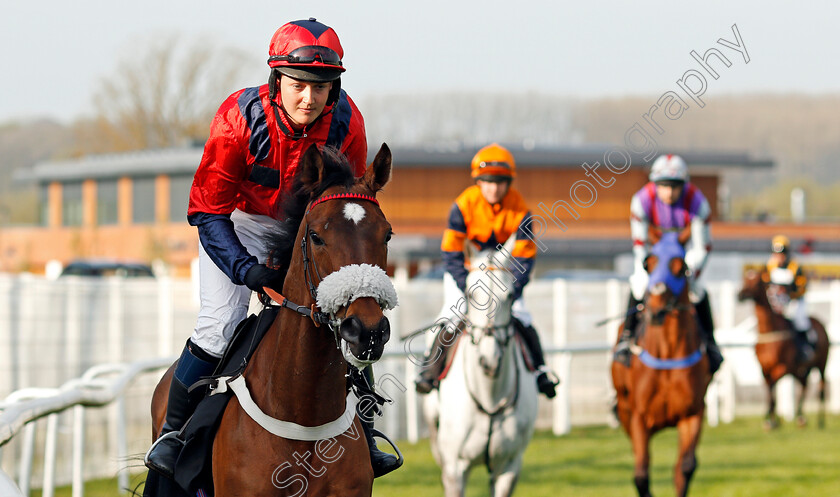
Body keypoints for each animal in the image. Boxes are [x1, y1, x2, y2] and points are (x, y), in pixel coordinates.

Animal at [420, 236, 540, 496]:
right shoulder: (455, 469)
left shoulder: (509, 467)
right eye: (471, 294)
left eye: (510, 296)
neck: (489, 395)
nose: (489, 359)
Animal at [612, 232, 712, 496]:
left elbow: (685, 468)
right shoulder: (638, 417)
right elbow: (641, 475)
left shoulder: (693, 412)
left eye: (681, 268)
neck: (668, 352)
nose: (656, 310)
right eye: (649, 263)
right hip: (624, 410)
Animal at [736, 270, 828, 428]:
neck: (770, 332)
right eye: (744, 280)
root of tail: (819, 323)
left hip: (821, 364)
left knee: (821, 389)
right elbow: (770, 392)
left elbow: (772, 389)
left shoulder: (784, 367)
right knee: (804, 386)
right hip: (800, 370)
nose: (740, 295)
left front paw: (771, 419)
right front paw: (771, 419)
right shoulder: (764, 370)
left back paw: (820, 422)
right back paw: (800, 417)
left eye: (756, 282)